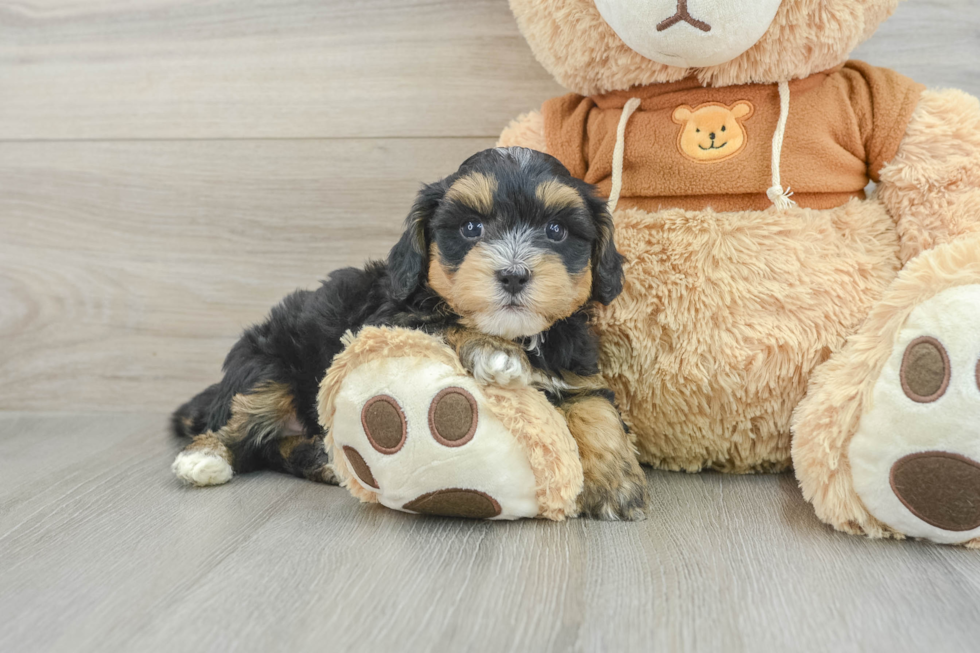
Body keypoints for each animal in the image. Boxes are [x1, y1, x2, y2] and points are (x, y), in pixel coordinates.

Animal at [174, 146, 652, 520]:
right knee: (243, 420)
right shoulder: (387, 319)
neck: (521, 335)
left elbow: (597, 408)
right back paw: (204, 457)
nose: (514, 275)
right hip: (266, 363)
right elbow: (443, 322)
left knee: (273, 445)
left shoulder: (576, 368)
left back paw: (319, 458)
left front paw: (616, 483)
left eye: (556, 230)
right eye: (471, 228)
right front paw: (492, 352)